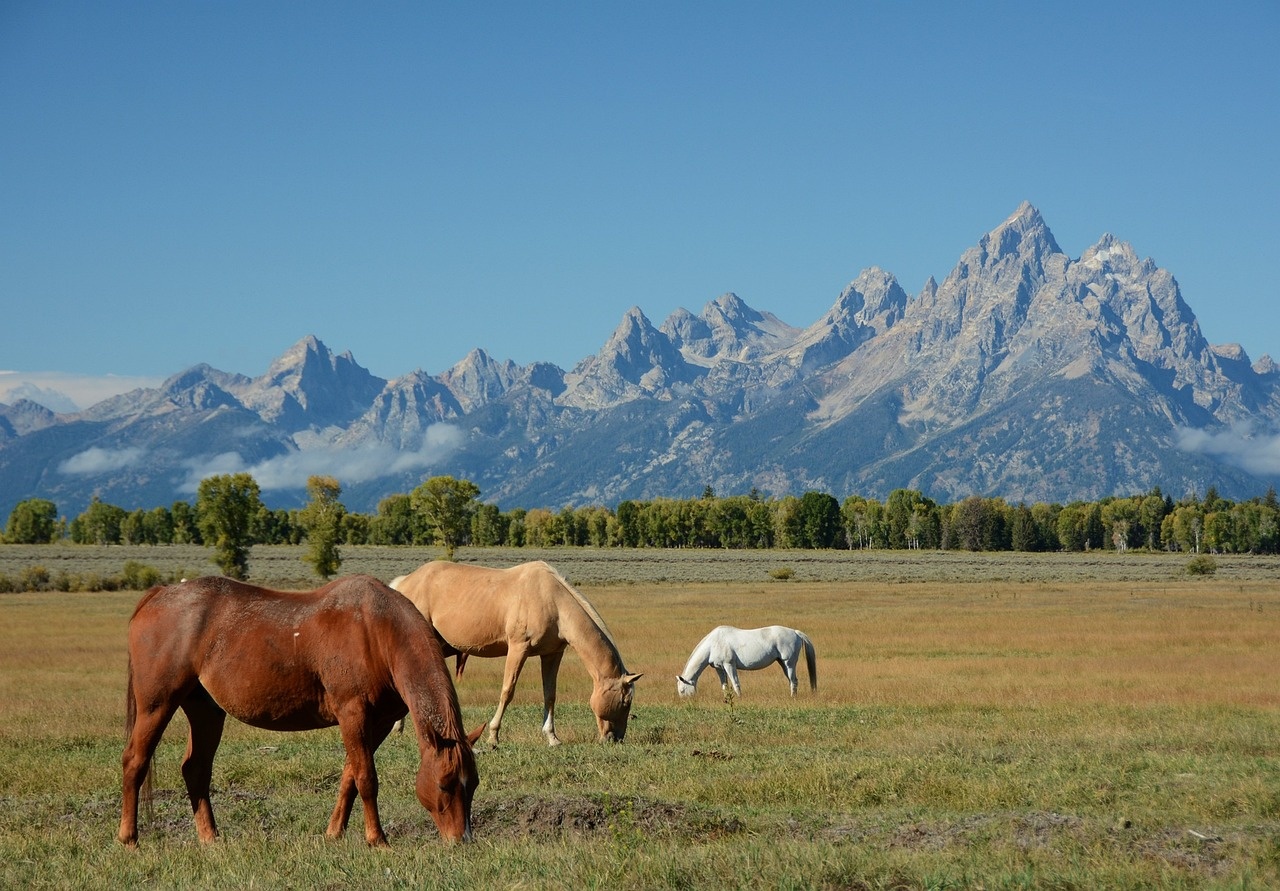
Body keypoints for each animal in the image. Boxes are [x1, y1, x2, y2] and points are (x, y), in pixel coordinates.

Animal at [117, 573, 483, 844]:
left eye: (474, 784)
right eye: (444, 784)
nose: (461, 840)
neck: (377, 632)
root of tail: (159, 594)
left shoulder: (377, 723)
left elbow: (350, 777)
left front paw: (335, 833)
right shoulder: (352, 714)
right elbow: (366, 778)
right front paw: (376, 839)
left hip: (205, 710)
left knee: (195, 769)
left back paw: (210, 838)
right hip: (157, 704)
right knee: (135, 761)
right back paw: (129, 838)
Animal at [386, 563, 640, 742]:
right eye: (625, 701)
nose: (615, 738)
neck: (552, 601)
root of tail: (404, 582)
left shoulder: (552, 654)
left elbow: (550, 694)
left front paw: (552, 737)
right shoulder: (518, 649)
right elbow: (507, 691)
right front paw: (493, 736)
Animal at [675, 627, 814, 696]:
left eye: (682, 690)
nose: (686, 702)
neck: (713, 643)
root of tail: (795, 632)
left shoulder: (729, 665)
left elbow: (735, 683)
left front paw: (739, 698)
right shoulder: (719, 668)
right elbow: (724, 686)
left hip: (789, 663)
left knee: (794, 680)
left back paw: (793, 697)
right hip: (782, 663)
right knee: (791, 680)